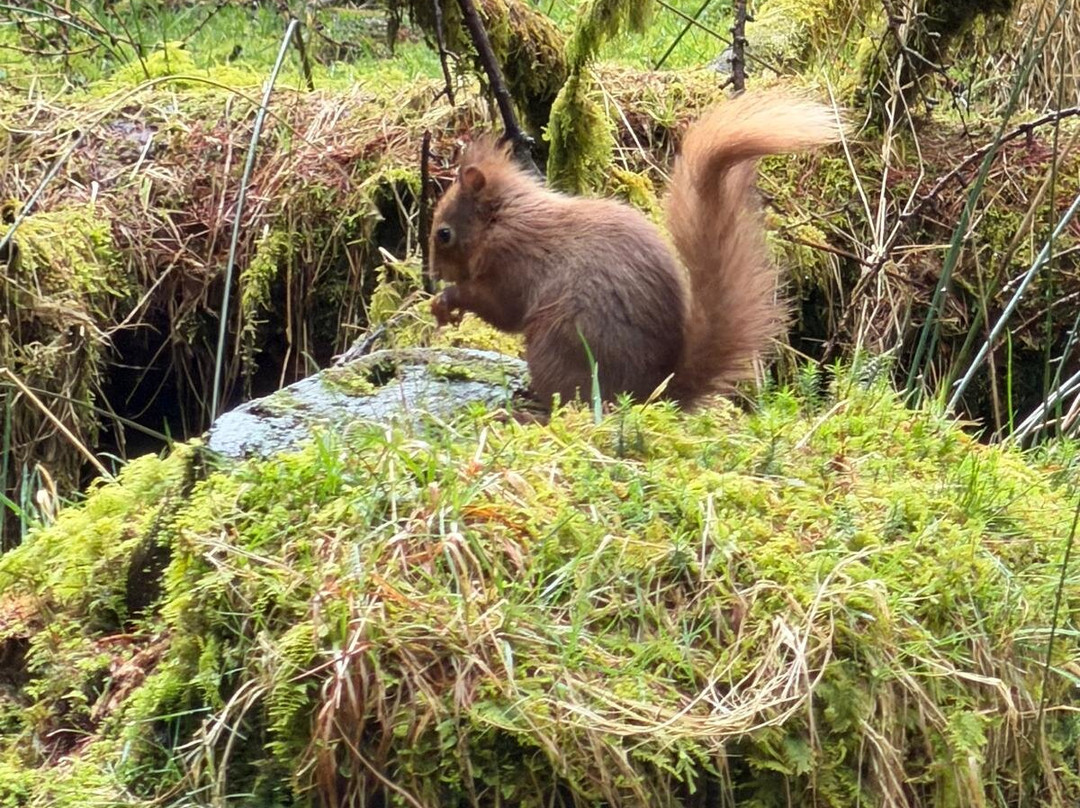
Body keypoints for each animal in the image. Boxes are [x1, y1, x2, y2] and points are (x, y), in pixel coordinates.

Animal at [428, 92, 841, 407]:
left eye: (444, 234)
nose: (434, 274)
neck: (504, 218)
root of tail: (650, 392)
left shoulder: (512, 261)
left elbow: (502, 309)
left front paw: (448, 300)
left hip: (557, 346)